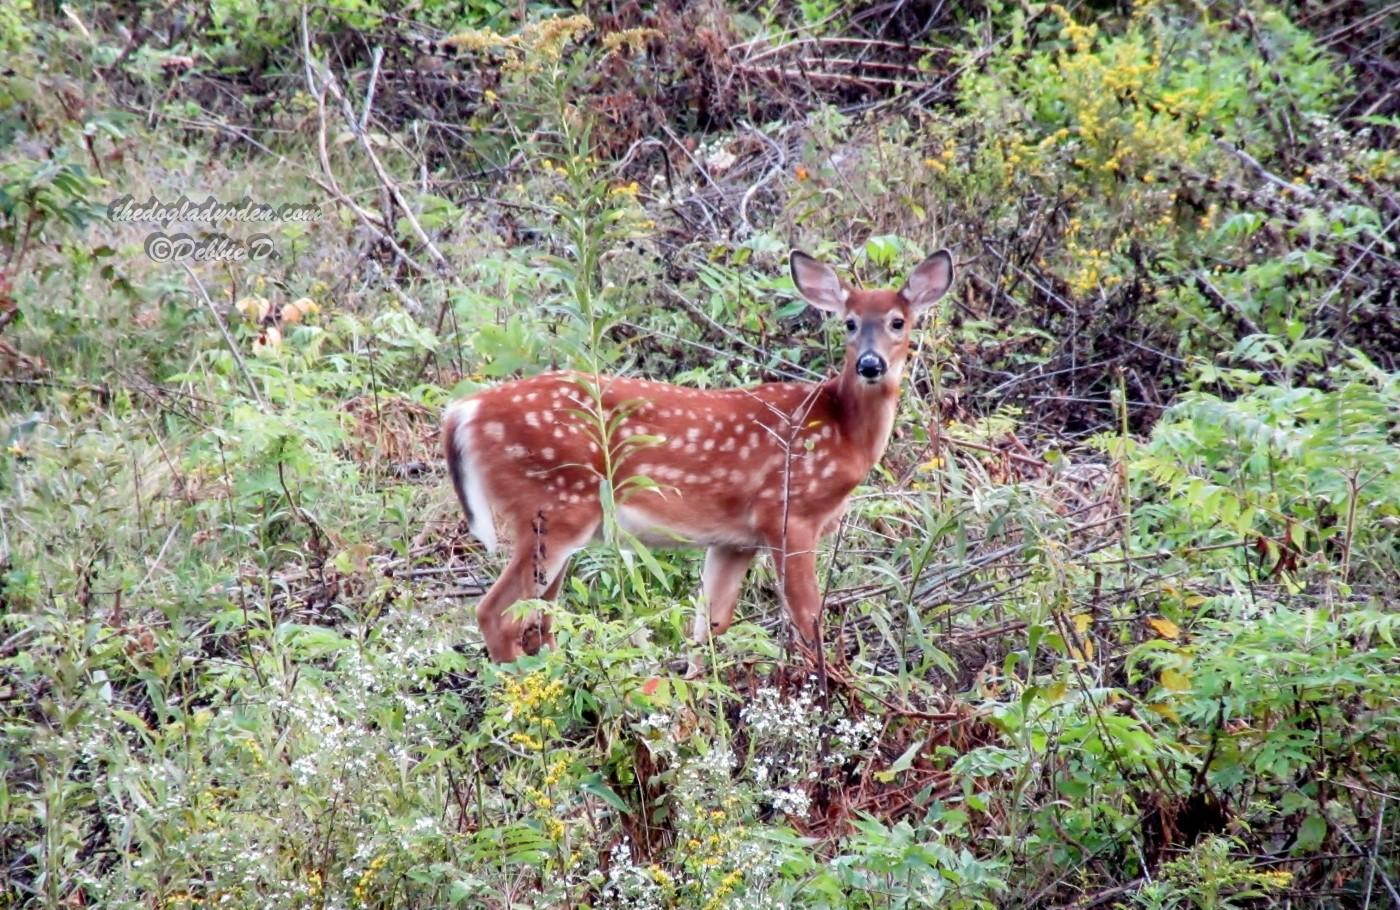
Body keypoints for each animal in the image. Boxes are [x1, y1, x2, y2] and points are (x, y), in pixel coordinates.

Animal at [442, 247, 957, 658]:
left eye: (898, 322)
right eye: (849, 323)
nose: (871, 364)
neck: (842, 429)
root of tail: (464, 411)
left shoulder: (734, 539)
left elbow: (708, 626)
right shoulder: (789, 513)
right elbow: (808, 619)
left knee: (539, 618)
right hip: (554, 505)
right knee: (495, 613)